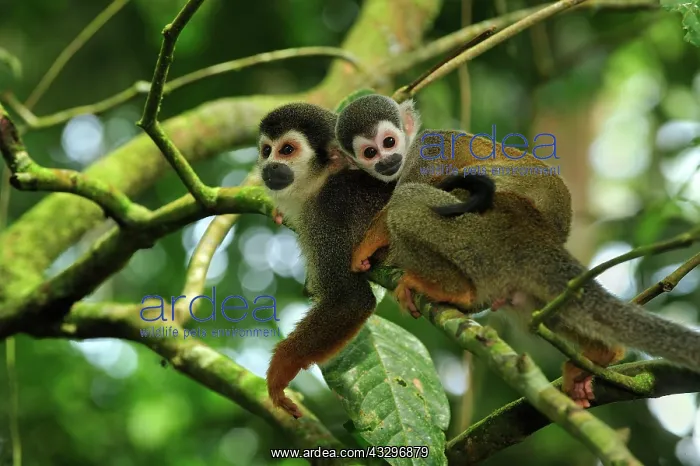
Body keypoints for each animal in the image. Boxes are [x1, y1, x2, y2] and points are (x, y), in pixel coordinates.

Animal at [257, 102, 495, 417]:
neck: (323, 183)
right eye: (266, 150)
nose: (269, 166)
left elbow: (350, 300)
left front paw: (280, 369)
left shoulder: (328, 214)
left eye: (286, 150)